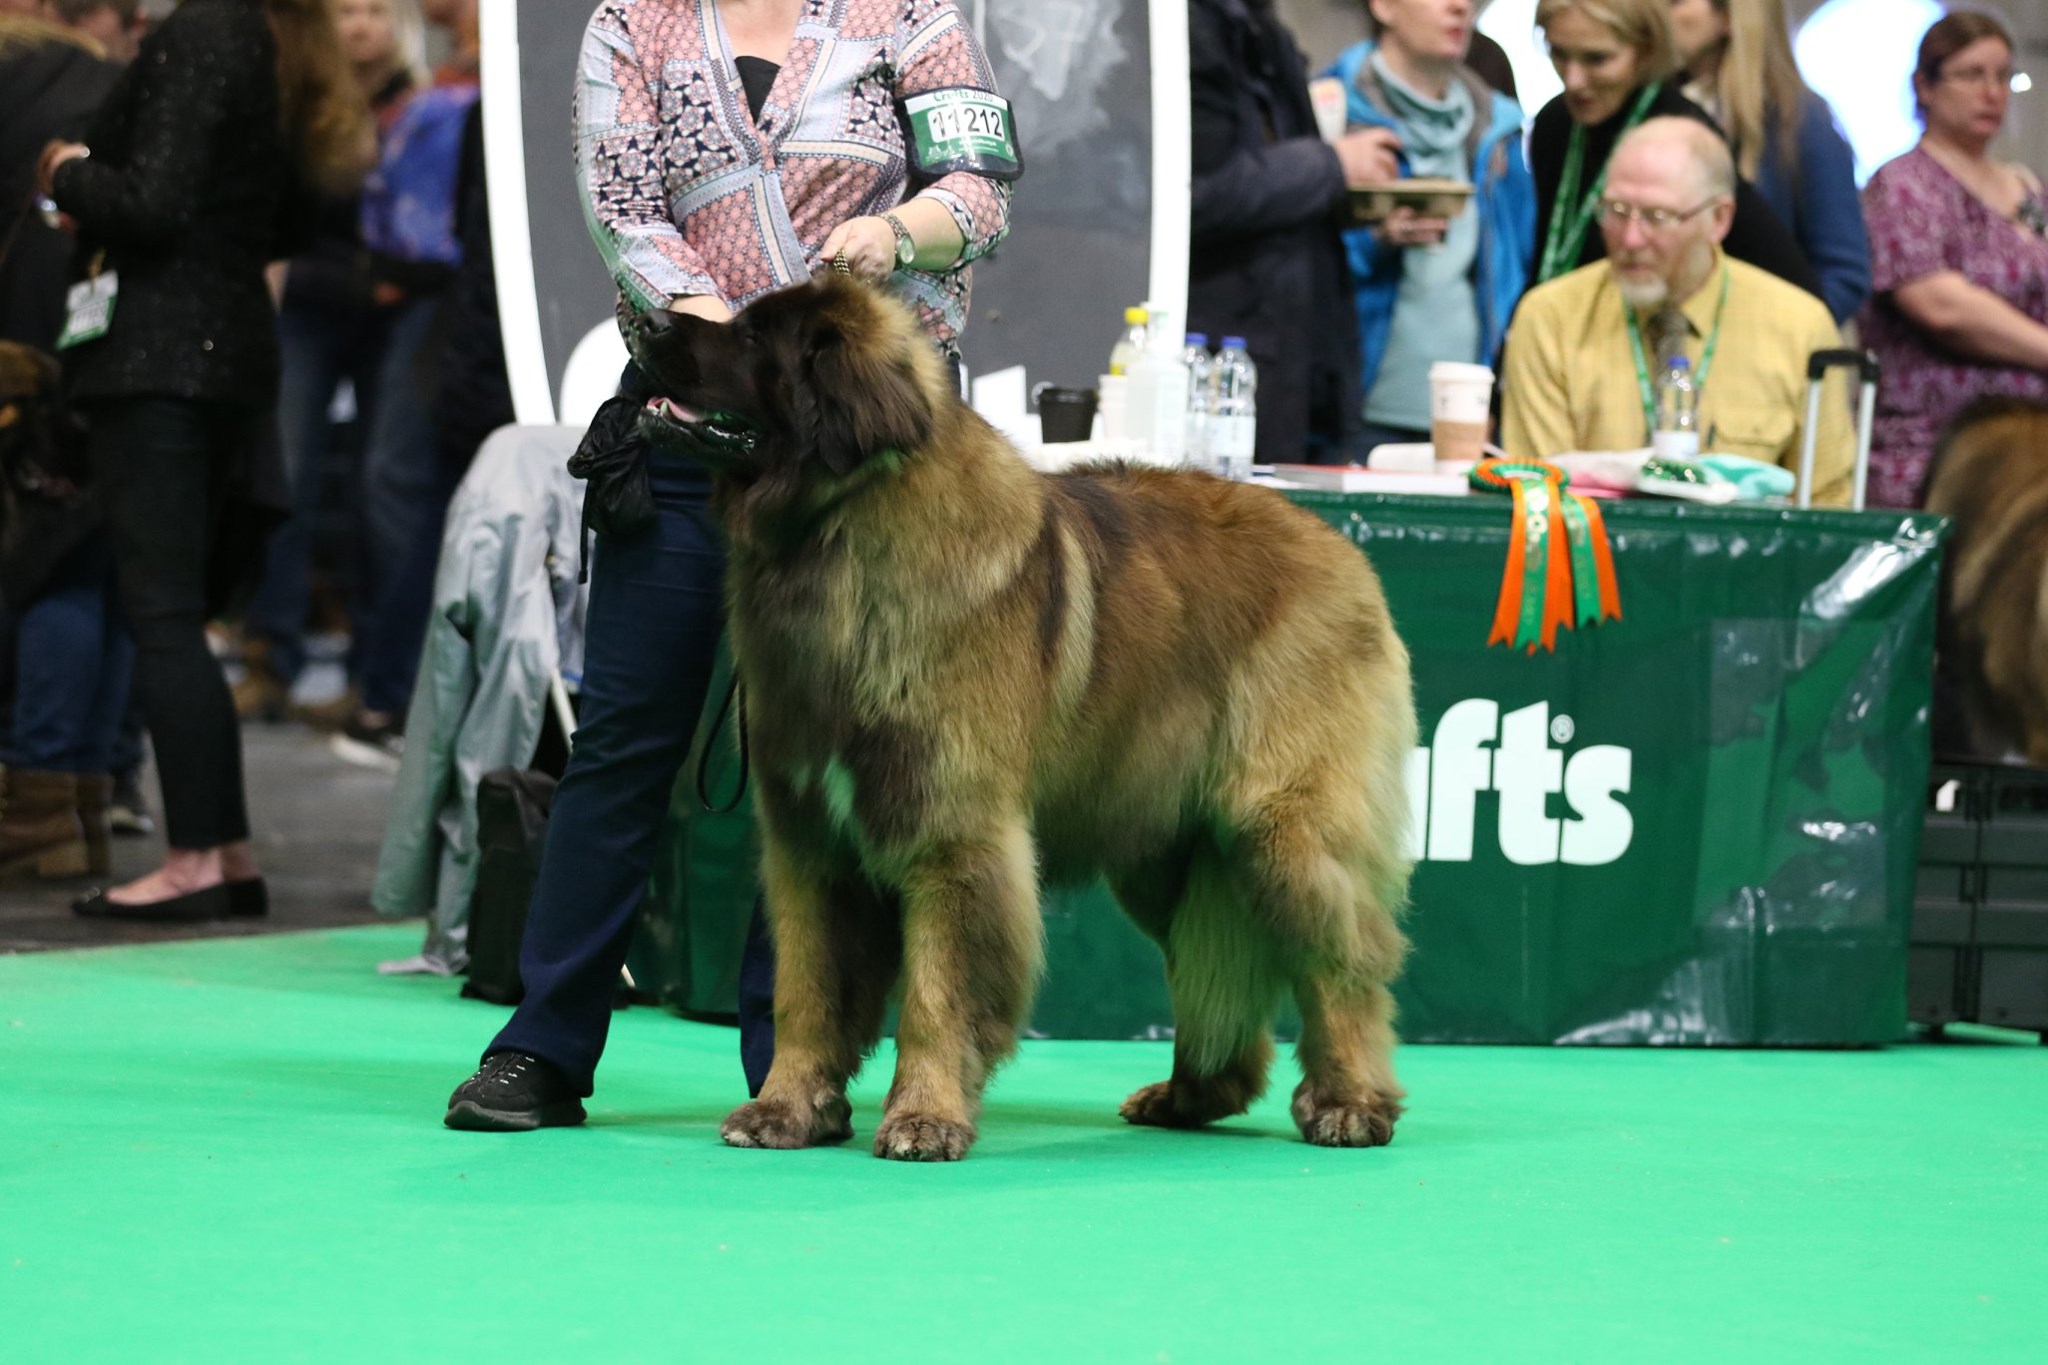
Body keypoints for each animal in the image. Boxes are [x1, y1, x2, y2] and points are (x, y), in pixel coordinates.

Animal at [630, 278, 1417, 1162]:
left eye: (754, 336)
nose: (646, 318)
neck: (838, 533)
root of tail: (1340, 548)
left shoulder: (952, 834)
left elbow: (937, 991)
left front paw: (924, 1117)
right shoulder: (811, 844)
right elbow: (806, 988)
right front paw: (787, 1106)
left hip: (1281, 829)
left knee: (1345, 963)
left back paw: (1351, 1101)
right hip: (1164, 847)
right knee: (1212, 965)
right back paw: (1190, 1095)